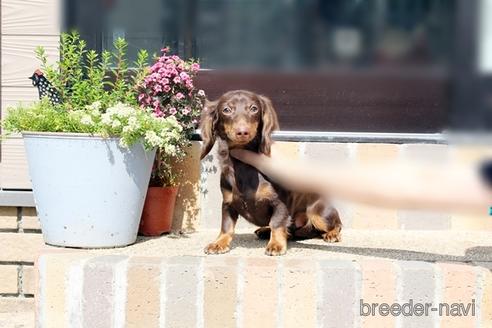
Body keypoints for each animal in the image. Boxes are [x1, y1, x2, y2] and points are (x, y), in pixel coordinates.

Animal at [201, 90, 342, 256]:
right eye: (226, 110)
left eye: (254, 108)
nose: (242, 132)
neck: (242, 166)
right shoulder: (228, 203)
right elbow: (226, 226)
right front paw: (219, 243)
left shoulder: (280, 203)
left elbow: (277, 223)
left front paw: (276, 245)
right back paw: (265, 231)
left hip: (318, 213)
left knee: (337, 224)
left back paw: (332, 234)